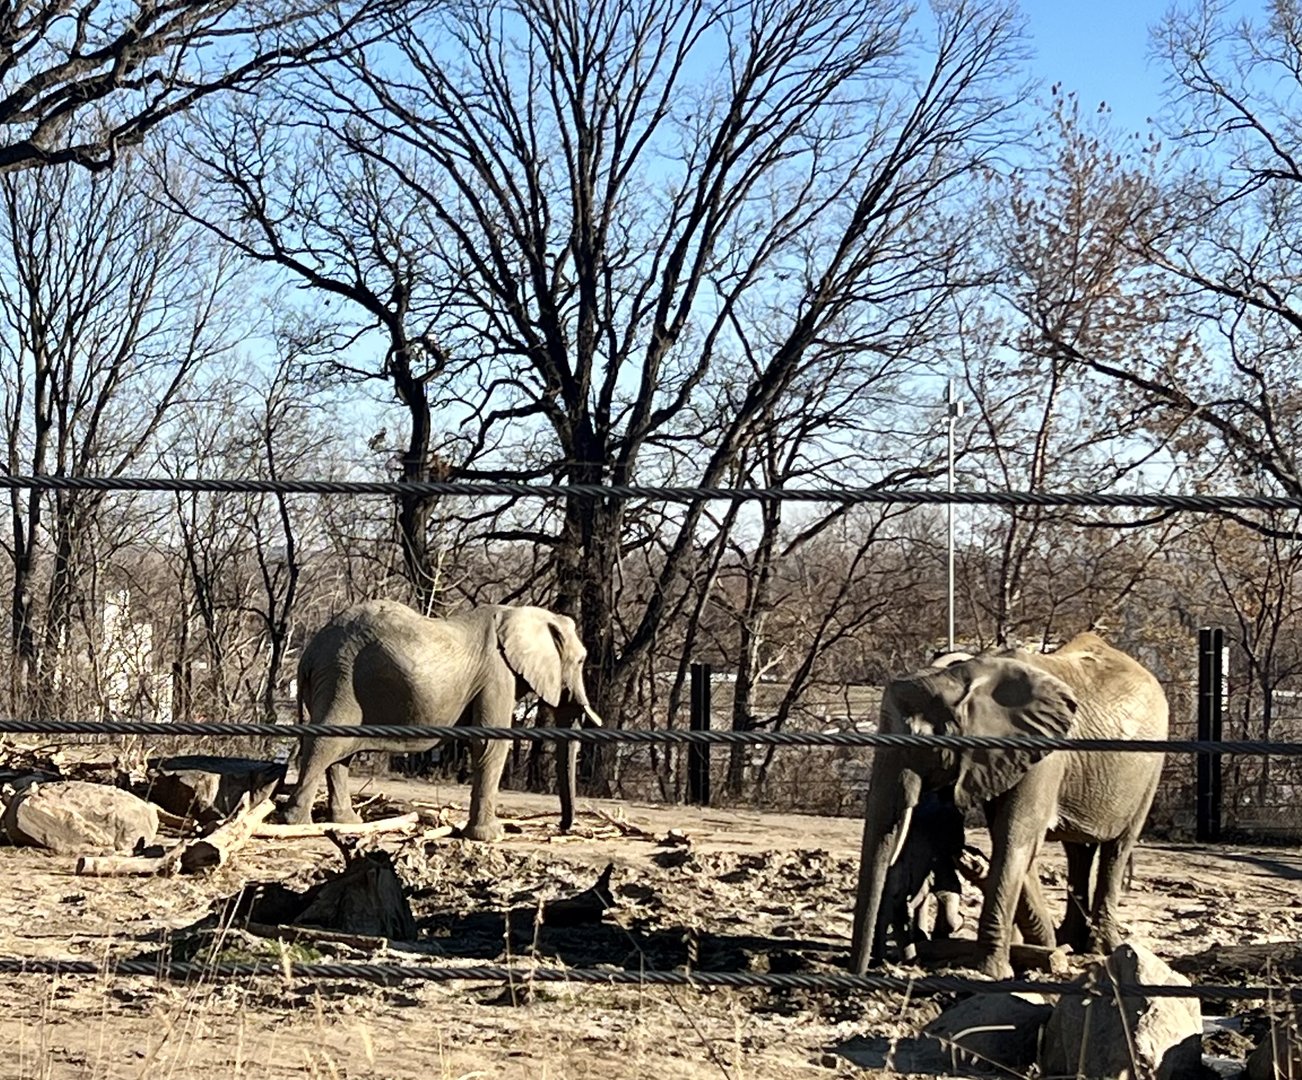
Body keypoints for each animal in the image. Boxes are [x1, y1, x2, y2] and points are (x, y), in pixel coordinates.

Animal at [283, 599, 601, 840]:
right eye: (581, 661)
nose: (562, 827)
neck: (519, 613)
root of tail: (309, 654)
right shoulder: (497, 674)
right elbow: (491, 743)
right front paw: (491, 836)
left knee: (340, 751)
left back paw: (347, 822)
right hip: (342, 678)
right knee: (325, 743)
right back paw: (296, 823)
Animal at [850, 632, 1168, 979]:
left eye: (922, 742)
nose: (864, 970)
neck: (965, 674)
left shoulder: (1042, 755)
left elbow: (1016, 837)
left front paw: (992, 971)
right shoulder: (998, 759)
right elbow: (1014, 840)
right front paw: (1043, 947)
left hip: (1150, 769)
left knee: (1117, 848)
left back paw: (1099, 947)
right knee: (1078, 852)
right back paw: (1070, 940)